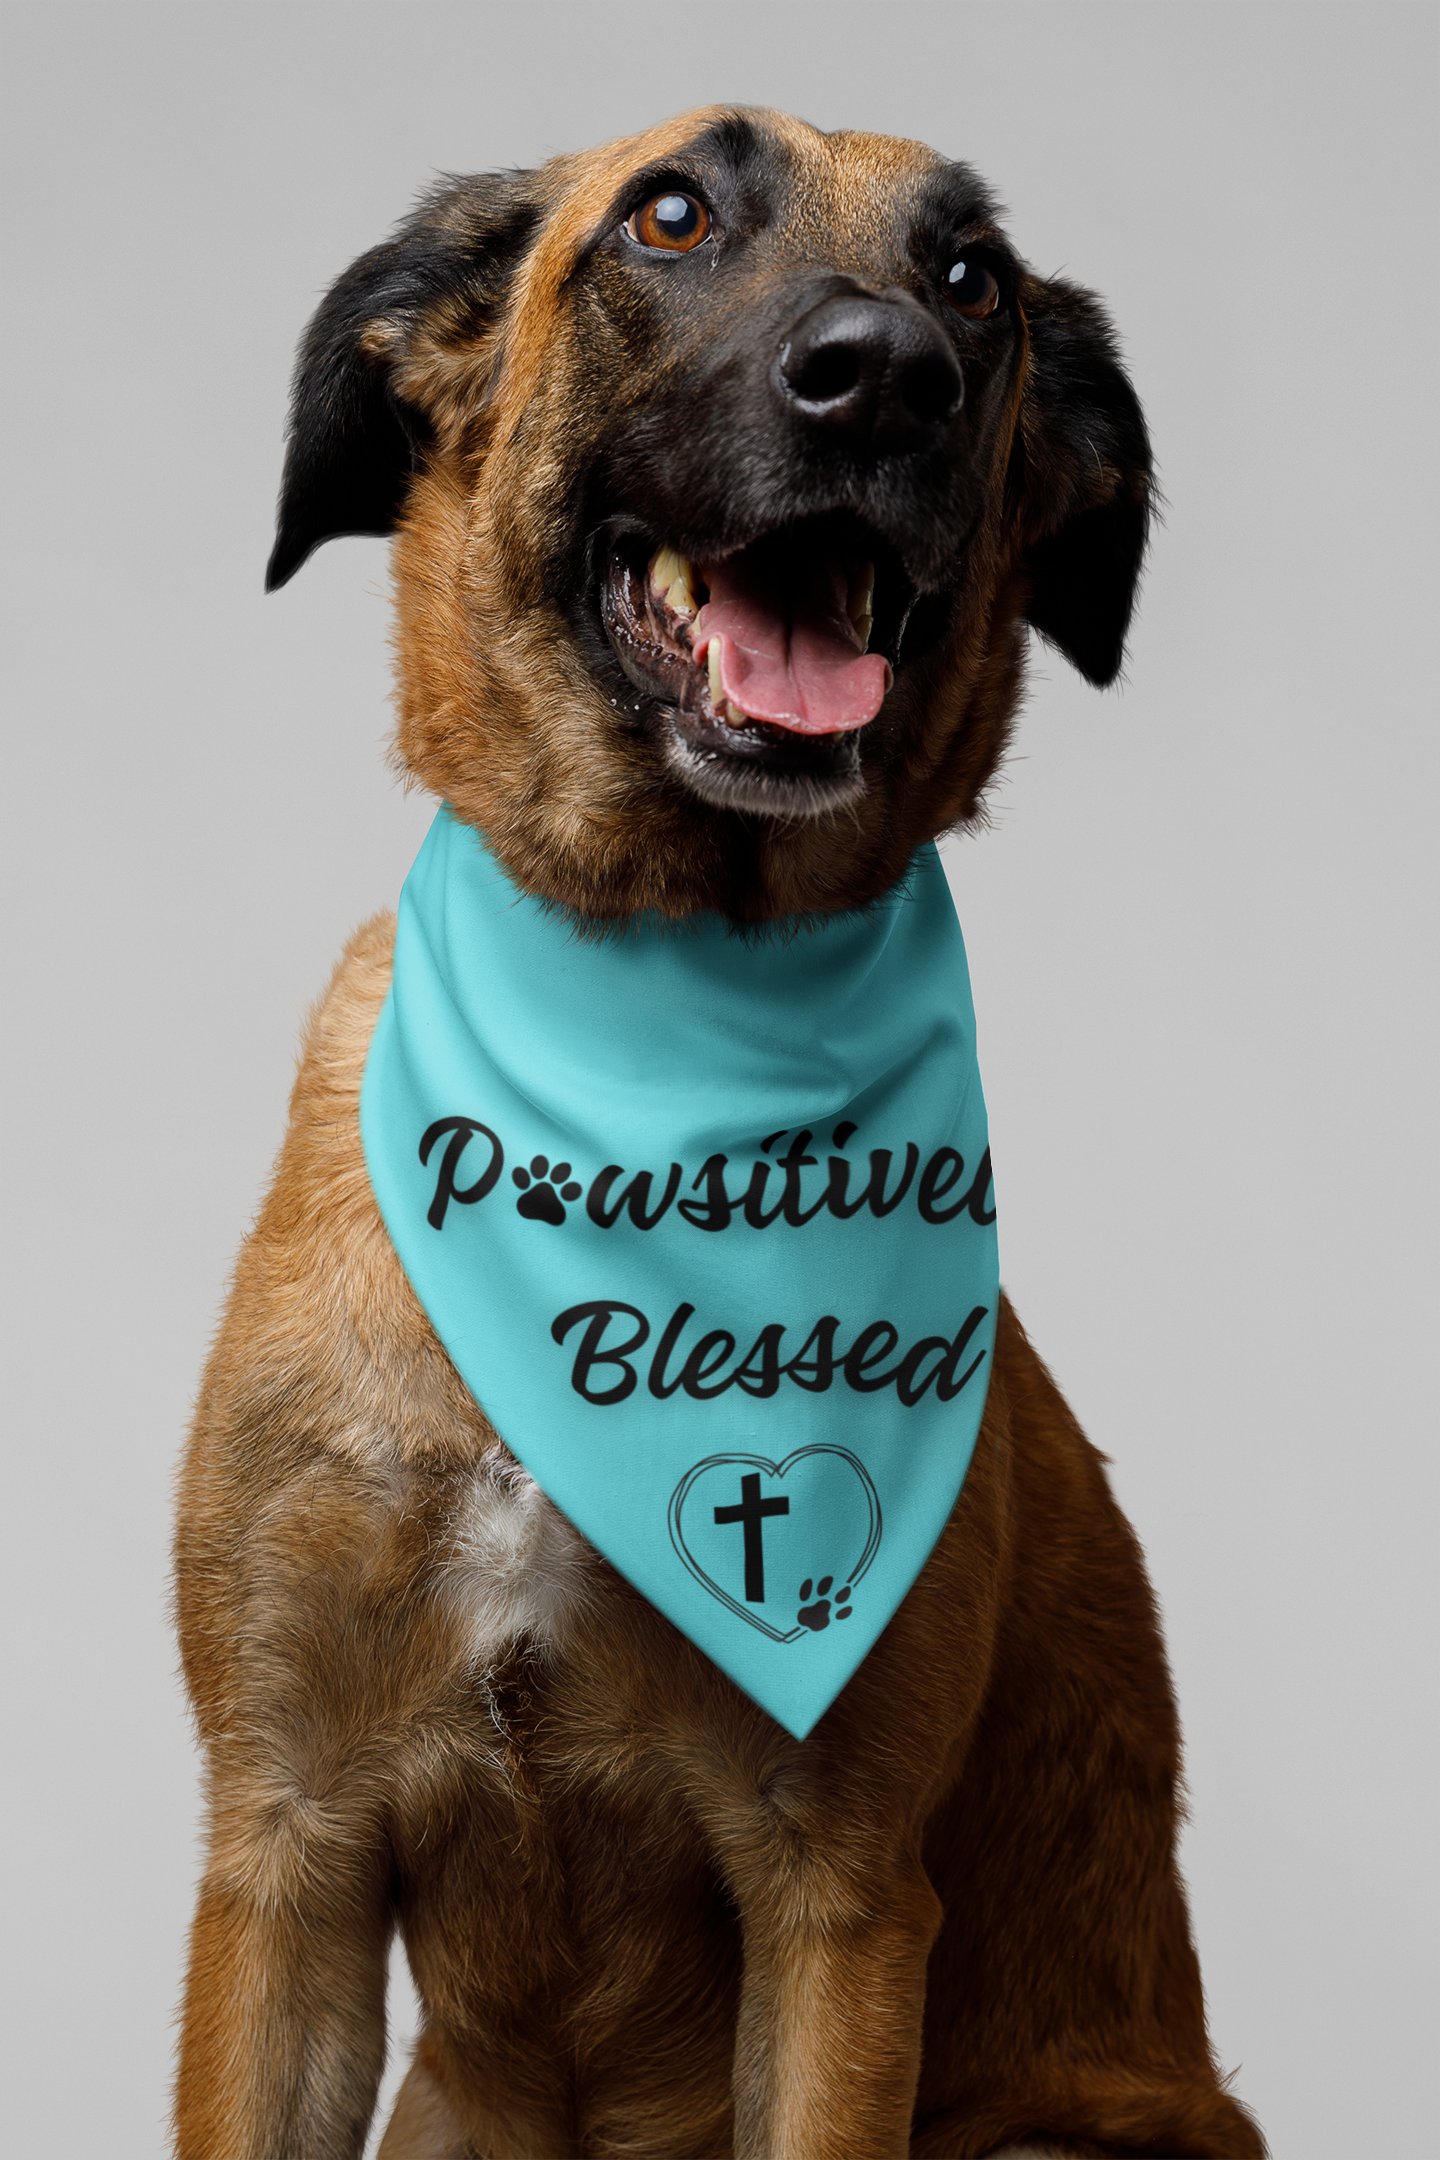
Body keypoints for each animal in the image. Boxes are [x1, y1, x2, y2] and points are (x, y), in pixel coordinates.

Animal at [174, 105, 1269, 2160]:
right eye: (670, 215)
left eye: (972, 280)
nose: (889, 376)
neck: (656, 1023)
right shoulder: (284, 1853)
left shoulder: (836, 1892)